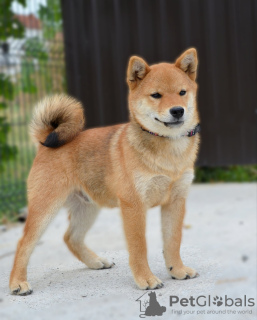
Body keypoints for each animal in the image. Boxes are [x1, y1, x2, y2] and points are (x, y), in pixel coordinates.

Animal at [9, 47, 200, 296]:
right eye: (156, 95)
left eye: (182, 92)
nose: (177, 110)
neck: (168, 150)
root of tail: (45, 141)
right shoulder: (133, 205)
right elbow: (139, 248)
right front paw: (146, 278)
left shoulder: (176, 201)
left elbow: (173, 241)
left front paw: (177, 269)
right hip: (45, 206)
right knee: (24, 243)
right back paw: (17, 283)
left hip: (87, 206)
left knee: (71, 237)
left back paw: (95, 261)